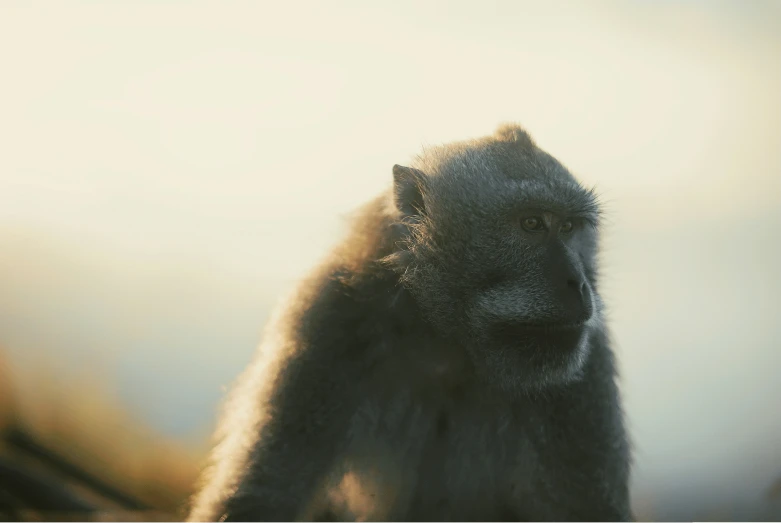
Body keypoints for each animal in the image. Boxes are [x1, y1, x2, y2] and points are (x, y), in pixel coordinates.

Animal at [186, 124, 632, 523]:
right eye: (532, 224)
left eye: (570, 227)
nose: (579, 283)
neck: (450, 343)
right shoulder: (328, 325)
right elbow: (261, 499)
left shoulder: (585, 364)